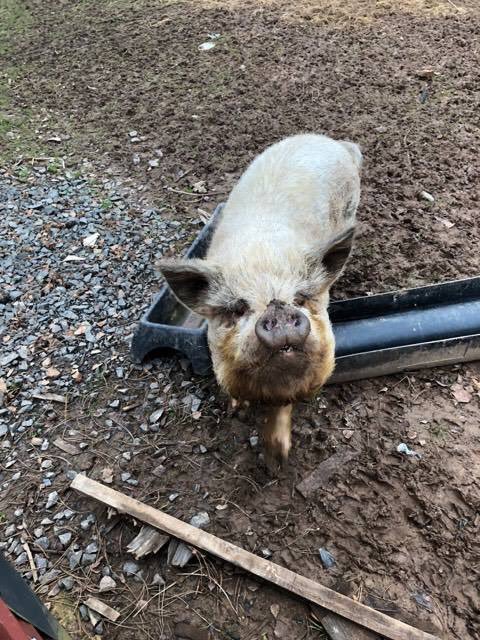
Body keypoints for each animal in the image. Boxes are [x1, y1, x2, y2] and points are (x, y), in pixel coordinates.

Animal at [158, 133, 362, 470]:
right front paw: (238, 411)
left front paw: (277, 461)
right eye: (238, 308)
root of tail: (334, 142)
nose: (277, 307)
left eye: (301, 298)